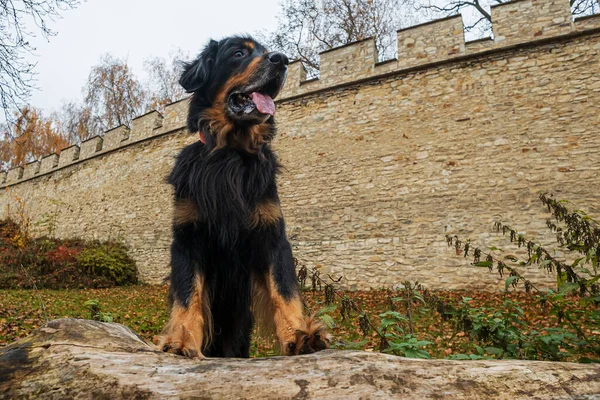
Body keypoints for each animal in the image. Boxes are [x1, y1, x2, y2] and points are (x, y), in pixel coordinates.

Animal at [157, 36, 330, 358]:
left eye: (267, 51)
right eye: (238, 53)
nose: (282, 60)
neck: (231, 154)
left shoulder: (272, 236)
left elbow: (284, 290)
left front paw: (300, 335)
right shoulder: (187, 238)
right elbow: (188, 294)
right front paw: (180, 340)